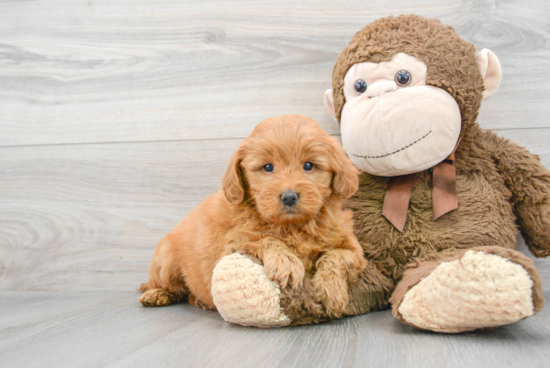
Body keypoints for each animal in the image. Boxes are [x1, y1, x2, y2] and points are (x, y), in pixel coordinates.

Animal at [140, 114, 368, 316]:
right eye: (267, 167)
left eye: (309, 165)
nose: (289, 197)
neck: (293, 226)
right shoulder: (231, 245)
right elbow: (263, 239)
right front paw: (286, 261)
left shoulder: (354, 251)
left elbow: (335, 256)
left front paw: (333, 290)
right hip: (166, 260)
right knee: (163, 285)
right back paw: (156, 295)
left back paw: (198, 300)